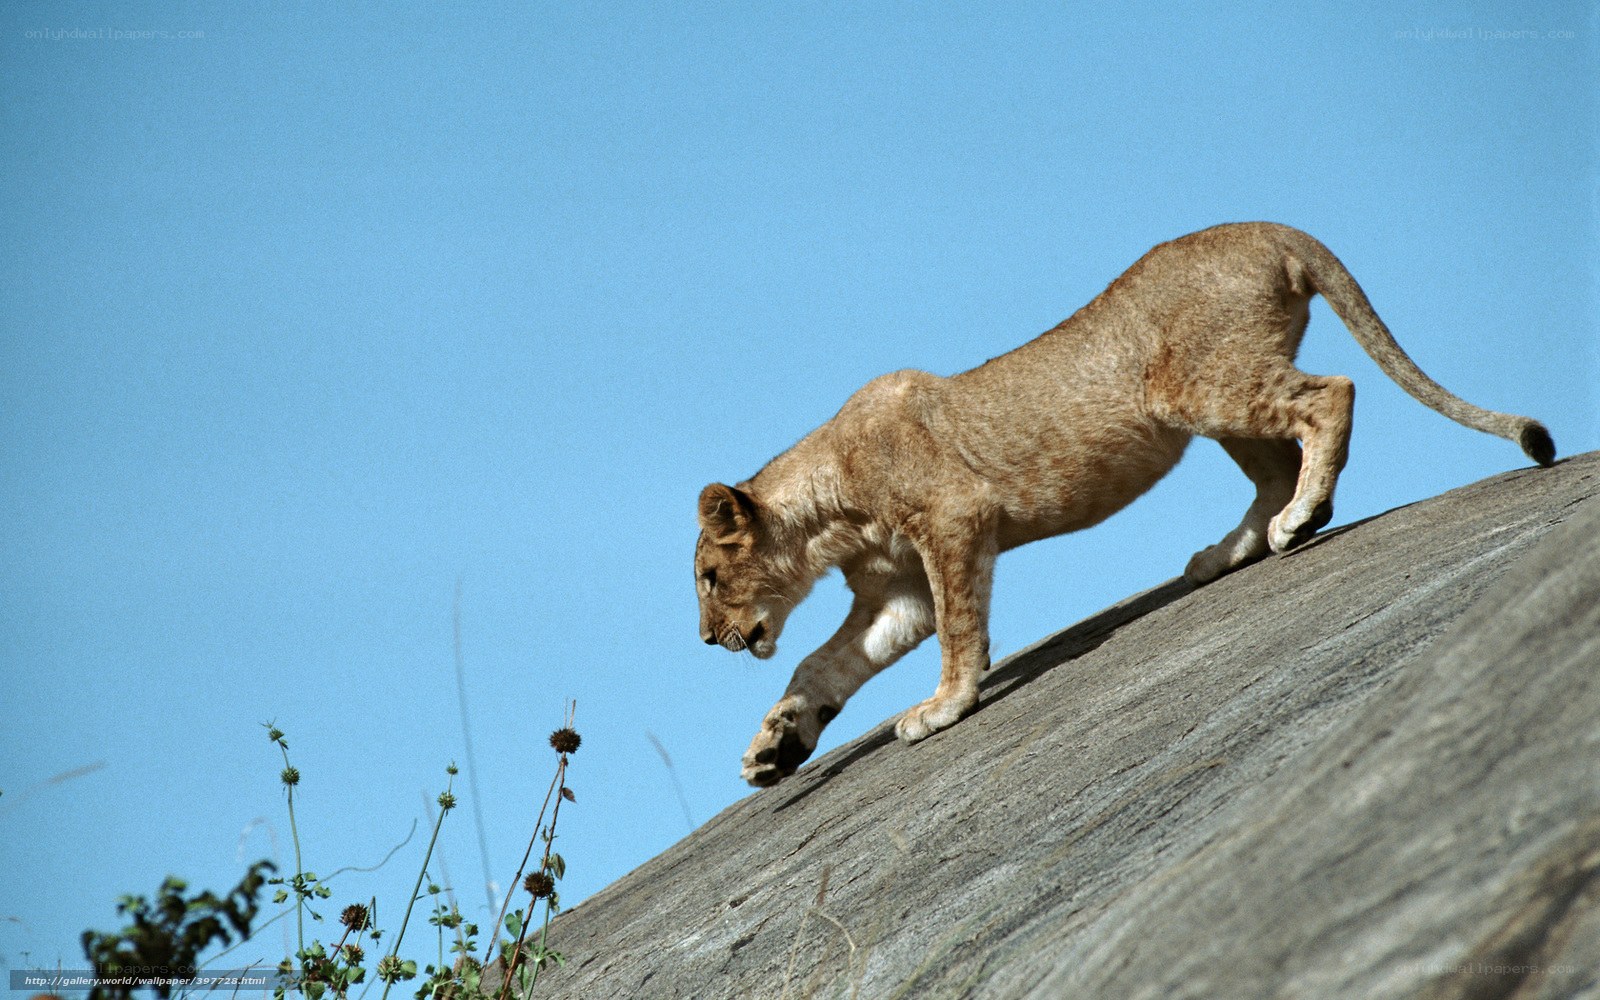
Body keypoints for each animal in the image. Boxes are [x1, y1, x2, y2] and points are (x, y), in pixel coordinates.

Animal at [694, 222, 1554, 787]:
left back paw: (1301, 519)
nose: (707, 639)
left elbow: (961, 630)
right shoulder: (898, 589)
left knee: (1329, 396)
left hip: (1201, 382)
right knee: (1274, 465)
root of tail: (1264, 226)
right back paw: (1227, 551)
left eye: (706, 576)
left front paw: (945, 706)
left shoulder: (954, 520)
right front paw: (776, 746)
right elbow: (822, 662)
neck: (829, 520)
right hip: (1204, 401)